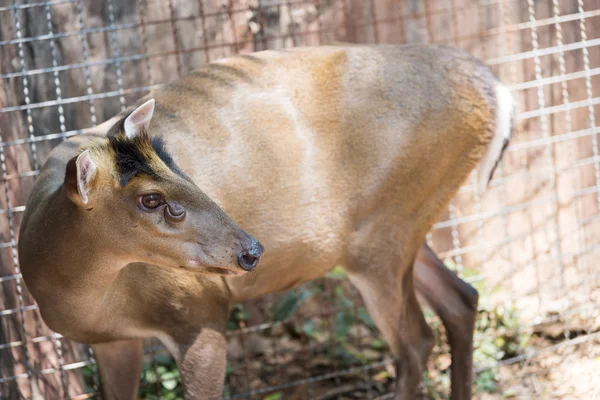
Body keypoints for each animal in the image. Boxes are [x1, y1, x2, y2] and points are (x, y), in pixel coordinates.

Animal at [19, 42, 516, 398]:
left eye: (177, 165)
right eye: (151, 199)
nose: (251, 250)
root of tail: (495, 89)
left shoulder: (200, 312)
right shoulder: (112, 342)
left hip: (384, 234)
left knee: (415, 342)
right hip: (401, 224)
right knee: (461, 298)